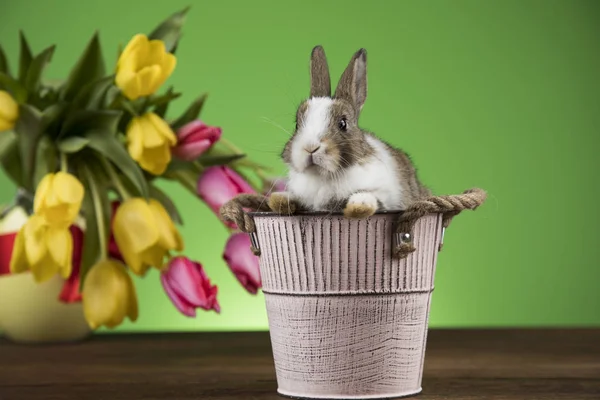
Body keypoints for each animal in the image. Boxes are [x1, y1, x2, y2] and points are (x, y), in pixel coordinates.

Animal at [268, 46, 432, 219]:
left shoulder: (384, 196)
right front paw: (278, 199)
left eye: (343, 123)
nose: (310, 148)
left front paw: (358, 207)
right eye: (297, 124)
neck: (324, 177)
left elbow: (369, 197)